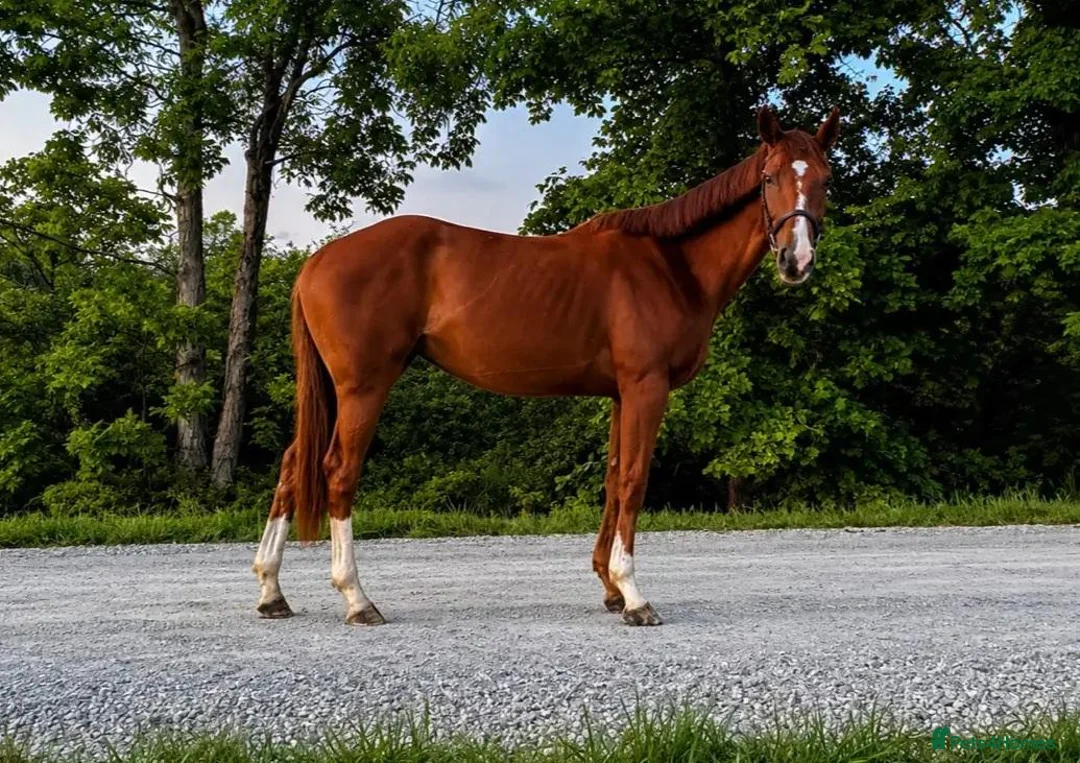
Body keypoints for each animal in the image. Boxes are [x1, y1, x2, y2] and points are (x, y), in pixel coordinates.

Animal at [252, 106, 840, 626]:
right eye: (768, 178)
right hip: (363, 388)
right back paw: (357, 599)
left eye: (826, 180)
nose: (796, 261)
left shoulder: (621, 394)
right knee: (338, 472)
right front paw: (634, 596)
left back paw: (272, 590)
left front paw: (610, 587)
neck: (670, 266)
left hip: (333, 391)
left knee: (291, 466)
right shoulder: (646, 388)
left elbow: (612, 479)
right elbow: (635, 479)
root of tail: (316, 261)